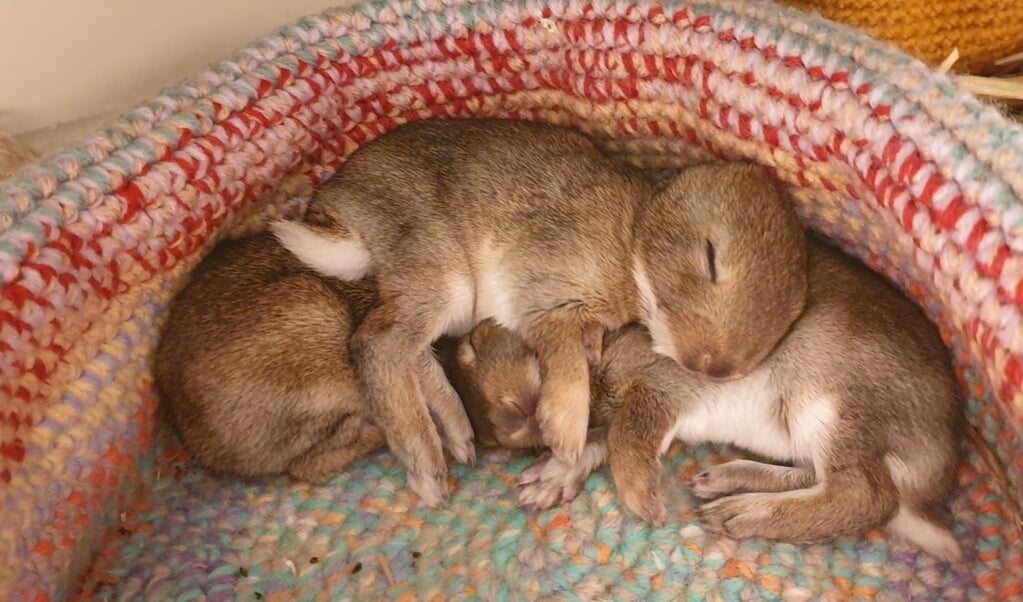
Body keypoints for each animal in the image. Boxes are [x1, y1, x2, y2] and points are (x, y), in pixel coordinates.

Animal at [272, 116, 806, 503]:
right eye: (711, 257)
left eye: (791, 316)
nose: (712, 367)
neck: (634, 237)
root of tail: (337, 208)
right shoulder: (547, 294)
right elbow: (563, 356)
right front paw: (565, 431)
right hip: (443, 272)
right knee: (378, 345)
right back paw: (427, 468)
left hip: (443, 299)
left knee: (412, 351)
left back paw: (458, 434)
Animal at [460, 231, 961, 565]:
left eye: (481, 340)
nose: (512, 418)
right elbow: (601, 436)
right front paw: (549, 480)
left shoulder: (662, 385)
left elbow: (625, 436)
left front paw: (644, 502)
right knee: (819, 476)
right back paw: (722, 483)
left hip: (827, 401)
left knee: (864, 496)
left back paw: (737, 515)